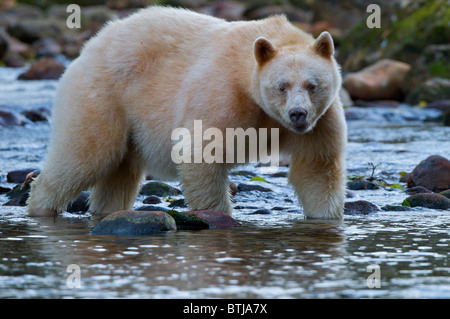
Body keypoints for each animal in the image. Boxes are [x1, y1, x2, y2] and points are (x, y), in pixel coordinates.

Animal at [26, 5, 346, 220]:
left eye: (312, 85)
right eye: (282, 86)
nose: (297, 114)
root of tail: (89, 46)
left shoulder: (320, 122)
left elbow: (316, 168)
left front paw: (325, 217)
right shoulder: (224, 95)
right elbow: (203, 152)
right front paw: (217, 213)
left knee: (119, 173)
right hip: (102, 98)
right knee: (85, 155)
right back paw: (41, 206)